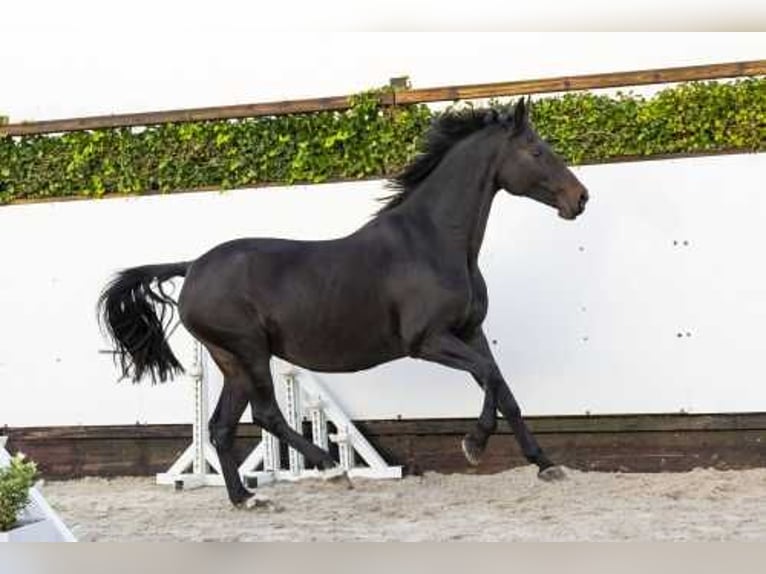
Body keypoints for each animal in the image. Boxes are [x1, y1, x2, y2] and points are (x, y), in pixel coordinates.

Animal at [100, 100, 588, 508]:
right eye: (536, 151)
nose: (580, 198)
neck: (433, 242)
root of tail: (193, 267)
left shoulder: (470, 332)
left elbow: (504, 390)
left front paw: (546, 465)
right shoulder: (427, 341)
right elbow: (488, 377)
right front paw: (474, 444)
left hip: (232, 360)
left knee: (221, 426)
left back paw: (246, 498)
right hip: (250, 352)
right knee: (267, 414)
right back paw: (331, 468)